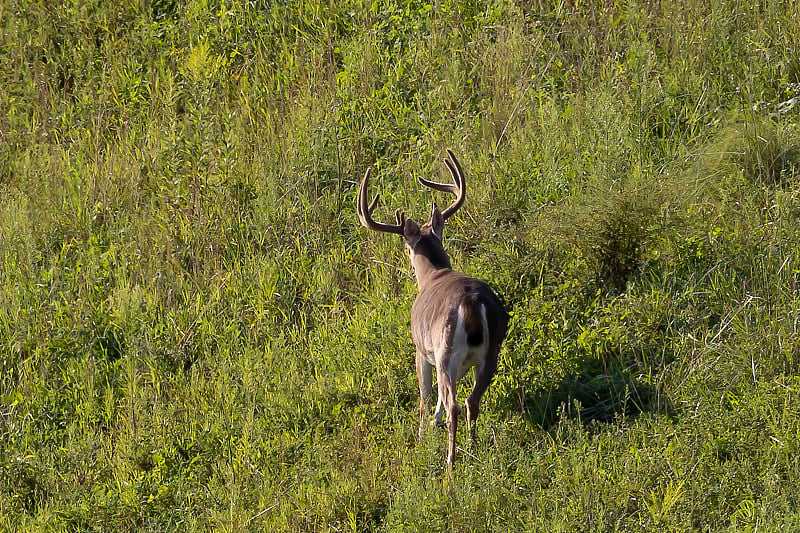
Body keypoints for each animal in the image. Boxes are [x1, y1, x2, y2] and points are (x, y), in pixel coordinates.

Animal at [354, 149, 506, 462]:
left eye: (406, 248)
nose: (407, 253)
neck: (434, 274)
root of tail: (471, 303)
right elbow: (435, 400)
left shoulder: (421, 350)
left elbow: (425, 398)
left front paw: (422, 437)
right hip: (490, 352)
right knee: (471, 400)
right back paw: (473, 448)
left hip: (445, 350)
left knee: (453, 405)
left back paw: (451, 462)